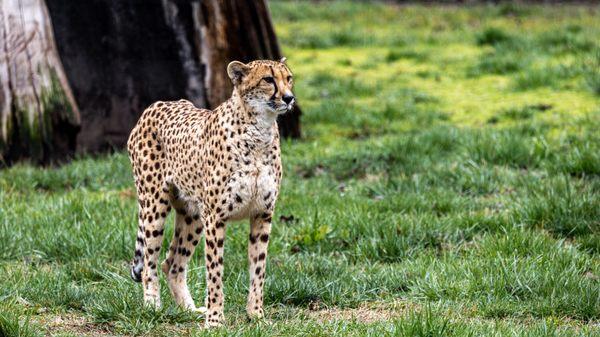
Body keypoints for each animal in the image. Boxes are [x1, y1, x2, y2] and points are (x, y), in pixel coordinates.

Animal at [127, 57, 296, 326]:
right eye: (268, 79)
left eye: (288, 78)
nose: (289, 98)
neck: (260, 131)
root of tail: (157, 104)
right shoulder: (216, 217)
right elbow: (215, 271)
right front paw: (215, 320)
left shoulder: (262, 213)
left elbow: (258, 269)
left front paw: (256, 315)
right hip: (155, 206)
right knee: (149, 262)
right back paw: (152, 306)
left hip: (193, 215)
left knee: (172, 263)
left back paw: (189, 309)